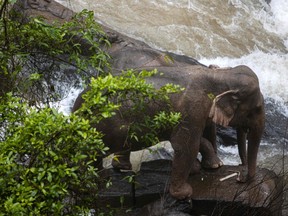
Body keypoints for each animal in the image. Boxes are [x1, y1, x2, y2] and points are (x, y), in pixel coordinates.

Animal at [71, 64, 264, 201]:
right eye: (256, 109)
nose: (239, 178)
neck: (221, 74)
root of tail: (76, 107)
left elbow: (198, 139)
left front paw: (209, 166)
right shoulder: (192, 109)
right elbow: (186, 146)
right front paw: (184, 194)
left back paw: (117, 170)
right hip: (106, 126)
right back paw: (94, 183)